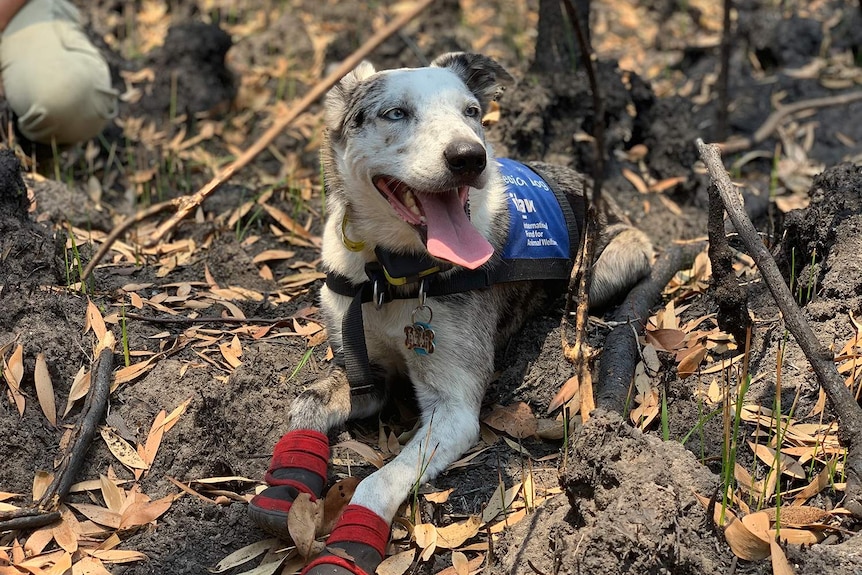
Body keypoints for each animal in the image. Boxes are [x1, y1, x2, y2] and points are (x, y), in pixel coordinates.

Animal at [250, 54, 656, 575]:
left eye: (472, 112)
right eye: (396, 113)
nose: (469, 157)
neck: (390, 272)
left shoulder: (453, 408)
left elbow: (378, 480)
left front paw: (348, 546)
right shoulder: (364, 371)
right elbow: (306, 404)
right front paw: (285, 488)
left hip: (610, 262)